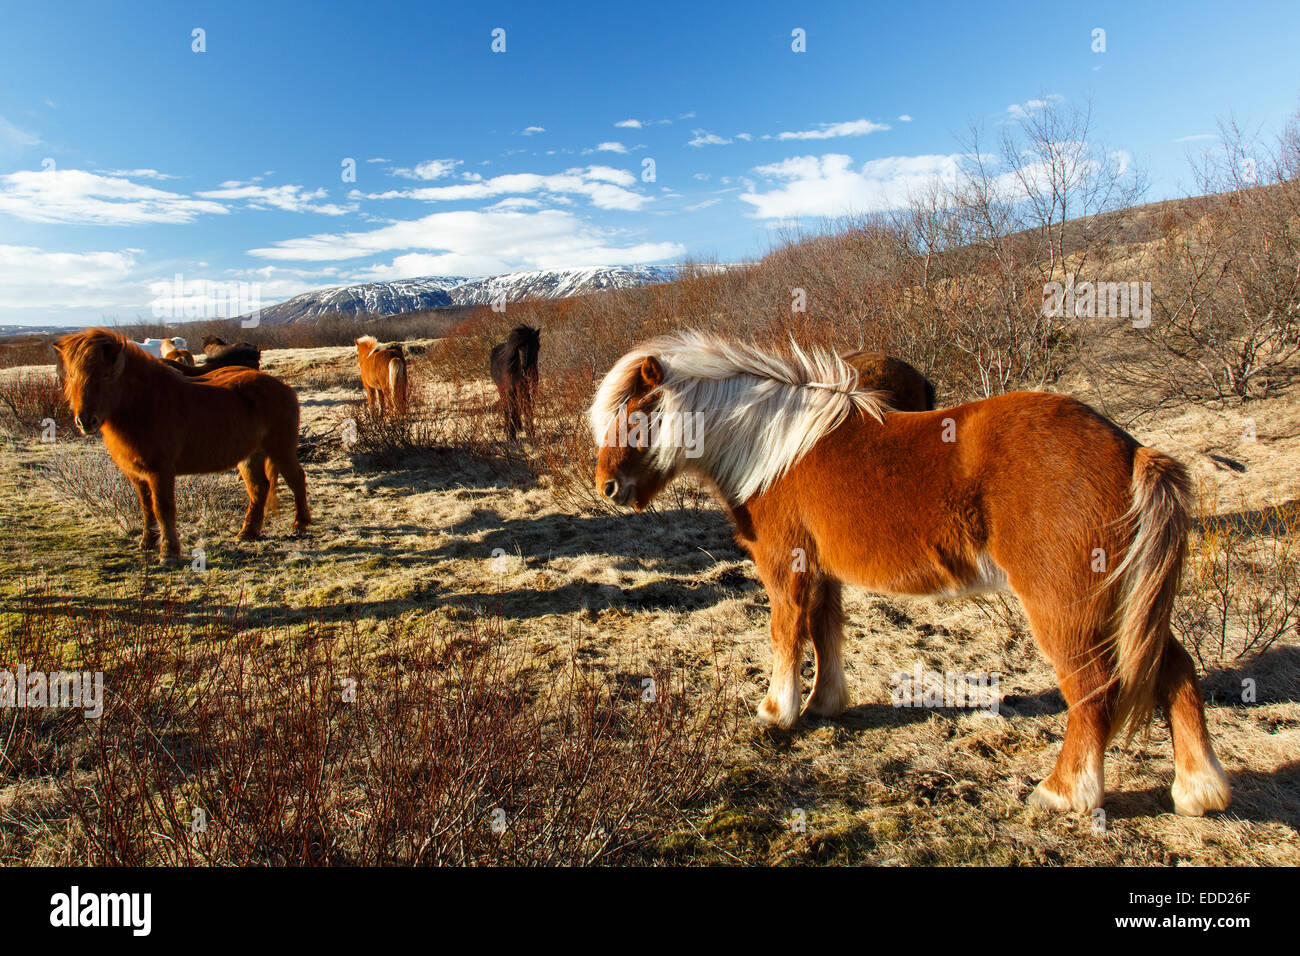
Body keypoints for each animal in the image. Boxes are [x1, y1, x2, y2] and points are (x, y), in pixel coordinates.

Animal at [57, 327, 309, 561]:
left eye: (106, 374)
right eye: (71, 375)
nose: (85, 421)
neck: (144, 405)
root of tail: (283, 387)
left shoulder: (160, 471)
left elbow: (163, 508)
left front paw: (169, 553)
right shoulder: (137, 474)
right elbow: (146, 507)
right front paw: (147, 542)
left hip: (280, 450)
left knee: (296, 478)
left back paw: (300, 524)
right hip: (250, 455)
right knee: (259, 487)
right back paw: (247, 532)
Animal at [595, 332, 1232, 816]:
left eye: (635, 415)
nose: (607, 488)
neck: (771, 450)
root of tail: (1131, 452)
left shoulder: (785, 568)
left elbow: (786, 634)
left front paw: (777, 714)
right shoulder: (823, 572)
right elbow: (825, 632)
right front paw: (826, 704)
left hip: (1067, 603)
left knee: (1094, 689)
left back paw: (1063, 793)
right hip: (1123, 598)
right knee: (1174, 669)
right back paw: (1199, 791)